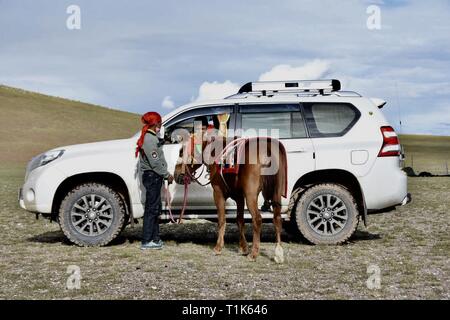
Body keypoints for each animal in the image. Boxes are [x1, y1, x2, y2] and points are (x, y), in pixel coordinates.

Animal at [174, 132, 286, 262]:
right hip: (276, 194)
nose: (176, 175)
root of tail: (267, 148)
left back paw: (254, 253)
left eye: (181, 152)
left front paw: (218, 247)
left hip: (251, 195)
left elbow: (222, 220)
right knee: (277, 218)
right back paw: (278, 253)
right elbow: (239, 220)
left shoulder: (218, 193)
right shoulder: (239, 197)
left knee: (257, 219)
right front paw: (243, 247)